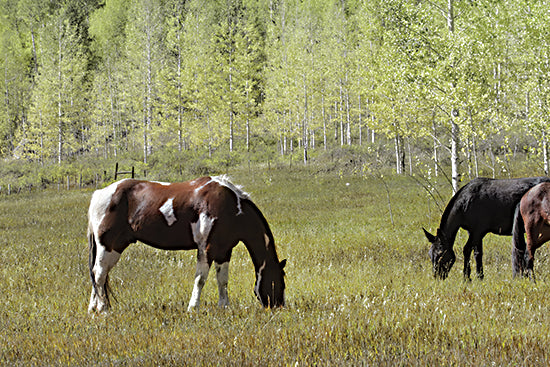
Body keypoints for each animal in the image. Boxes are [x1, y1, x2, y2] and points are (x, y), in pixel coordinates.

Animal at [88, 176, 286, 314]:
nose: (279, 307)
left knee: (99, 275)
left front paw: (224, 306)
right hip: (109, 246)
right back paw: (103, 309)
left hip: (114, 247)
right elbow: (200, 279)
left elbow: (222, 280)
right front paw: (193, 308)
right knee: (99, 274)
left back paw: (93, 308)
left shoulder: (223, 251)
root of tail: (99, 194)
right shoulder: (206, 249)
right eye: (279, 282)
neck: (231, 206)